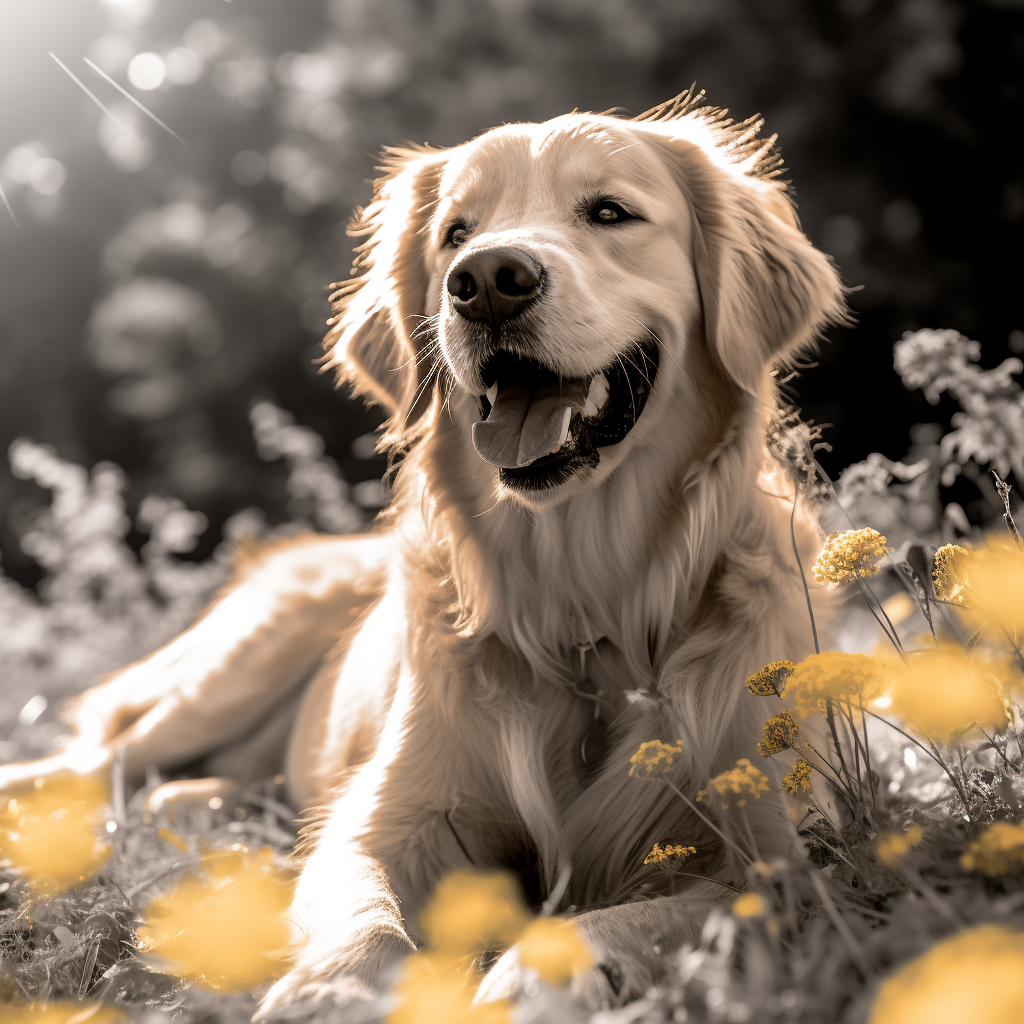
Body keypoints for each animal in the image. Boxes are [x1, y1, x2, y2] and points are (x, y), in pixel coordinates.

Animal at [0, 90, 843, 1015]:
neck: (586, 601)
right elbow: (366, 917)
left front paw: (531, 984)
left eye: (610, 213)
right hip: (224, 675)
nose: (487, 281)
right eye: (455, 232)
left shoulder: (782, 855)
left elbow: (637, 918)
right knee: (86, 766)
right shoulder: (387, 821)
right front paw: (328, 993)